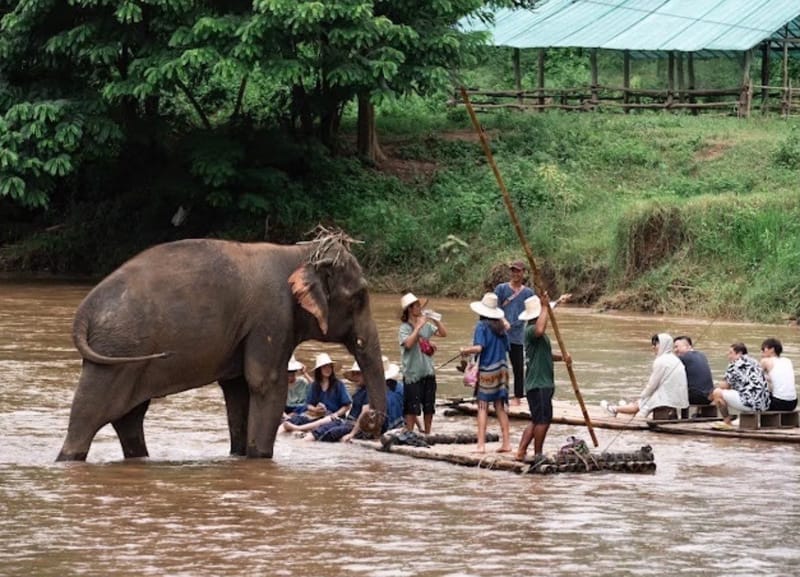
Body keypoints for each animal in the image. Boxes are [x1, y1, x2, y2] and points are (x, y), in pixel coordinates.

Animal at [56, 231, 386, 461]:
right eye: (359, 297)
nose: (370, 417)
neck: (301, 253)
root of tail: (84, 311)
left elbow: (239, 389)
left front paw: (239, 455)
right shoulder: (272, 316)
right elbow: (266, 384)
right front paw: (259, 458)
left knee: (129, 418)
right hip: (118, 350)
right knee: (90, 415)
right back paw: (68, 458)